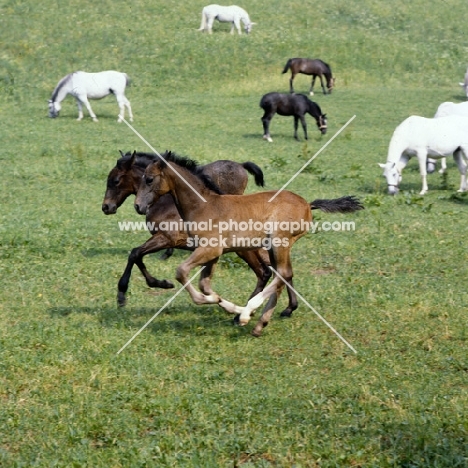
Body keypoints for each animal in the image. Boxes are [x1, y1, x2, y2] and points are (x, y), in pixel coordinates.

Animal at [103, 150, 300, 314]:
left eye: (115, 181)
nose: (106, 207)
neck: (166, 203)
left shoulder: (166, 238)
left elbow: (135, 253)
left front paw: (123, 294)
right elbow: (138, 256)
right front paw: (161, 283)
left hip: (245, 250)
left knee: (266, 272)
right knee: (277, 271)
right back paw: (287, 308)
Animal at [133, 152, 364, 338]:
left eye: (149, 179)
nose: (138, 206)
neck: (203, 206)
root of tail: (308, 204)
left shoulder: (210, 249)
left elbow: (181, 272)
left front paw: (234, 310)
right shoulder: (213, 253)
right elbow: (205, 285)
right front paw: (228, 306)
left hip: (279, 242)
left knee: (281, 274)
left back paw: (249, 313)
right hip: (274, 247)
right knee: (283, 275)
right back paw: (260, 323)